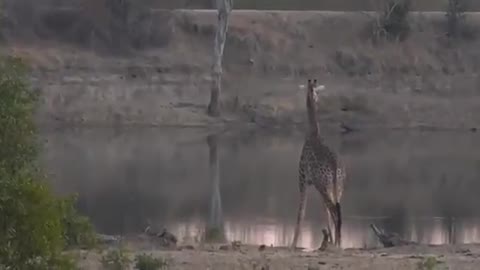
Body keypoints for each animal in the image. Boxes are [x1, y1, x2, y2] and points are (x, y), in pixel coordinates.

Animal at [290, 78, 346, 249]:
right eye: (316, 93)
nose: (319, 100)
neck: (313, 132)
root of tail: (335, 166)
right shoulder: (317, 185)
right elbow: (323, 214)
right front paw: (329, 242)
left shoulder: (303, 180)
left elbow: (301, 212)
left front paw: (293, 244)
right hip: (336, 187)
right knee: (336, 211)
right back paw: (338, 243)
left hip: (324, 186)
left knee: (335, 212)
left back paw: (338, 244)